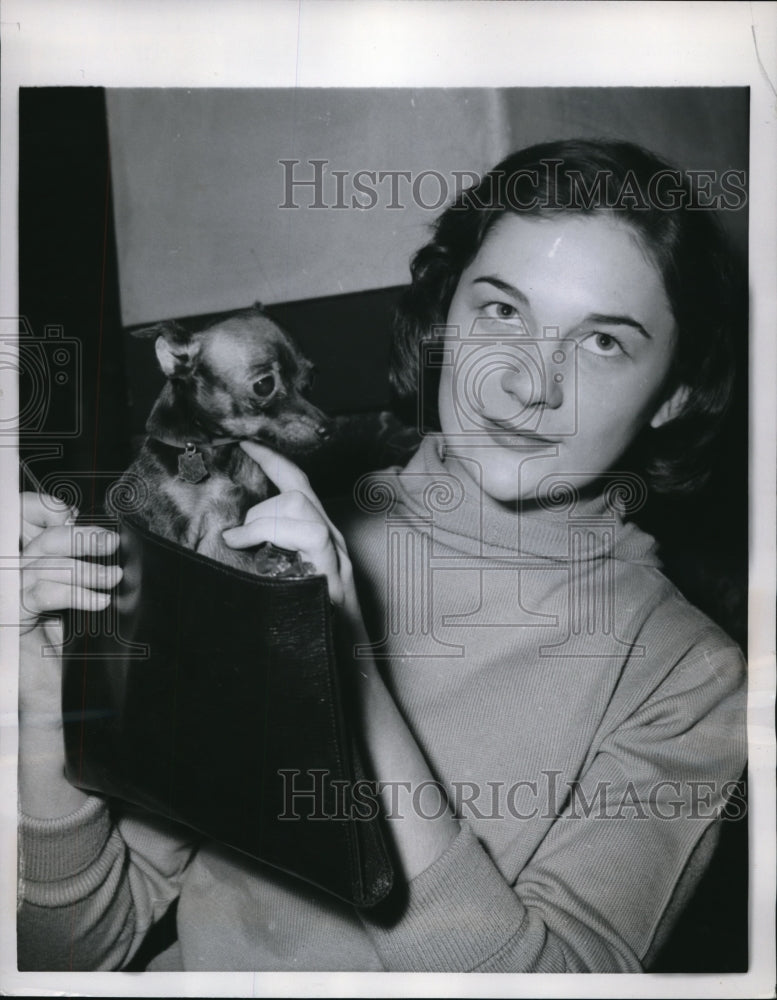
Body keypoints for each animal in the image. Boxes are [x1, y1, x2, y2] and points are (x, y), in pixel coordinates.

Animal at [115, 304, 330, 576]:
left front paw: (275, 562)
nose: (328, 428)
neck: (222, 452)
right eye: (264, 385)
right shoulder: (172, 533)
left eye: (311, 379)